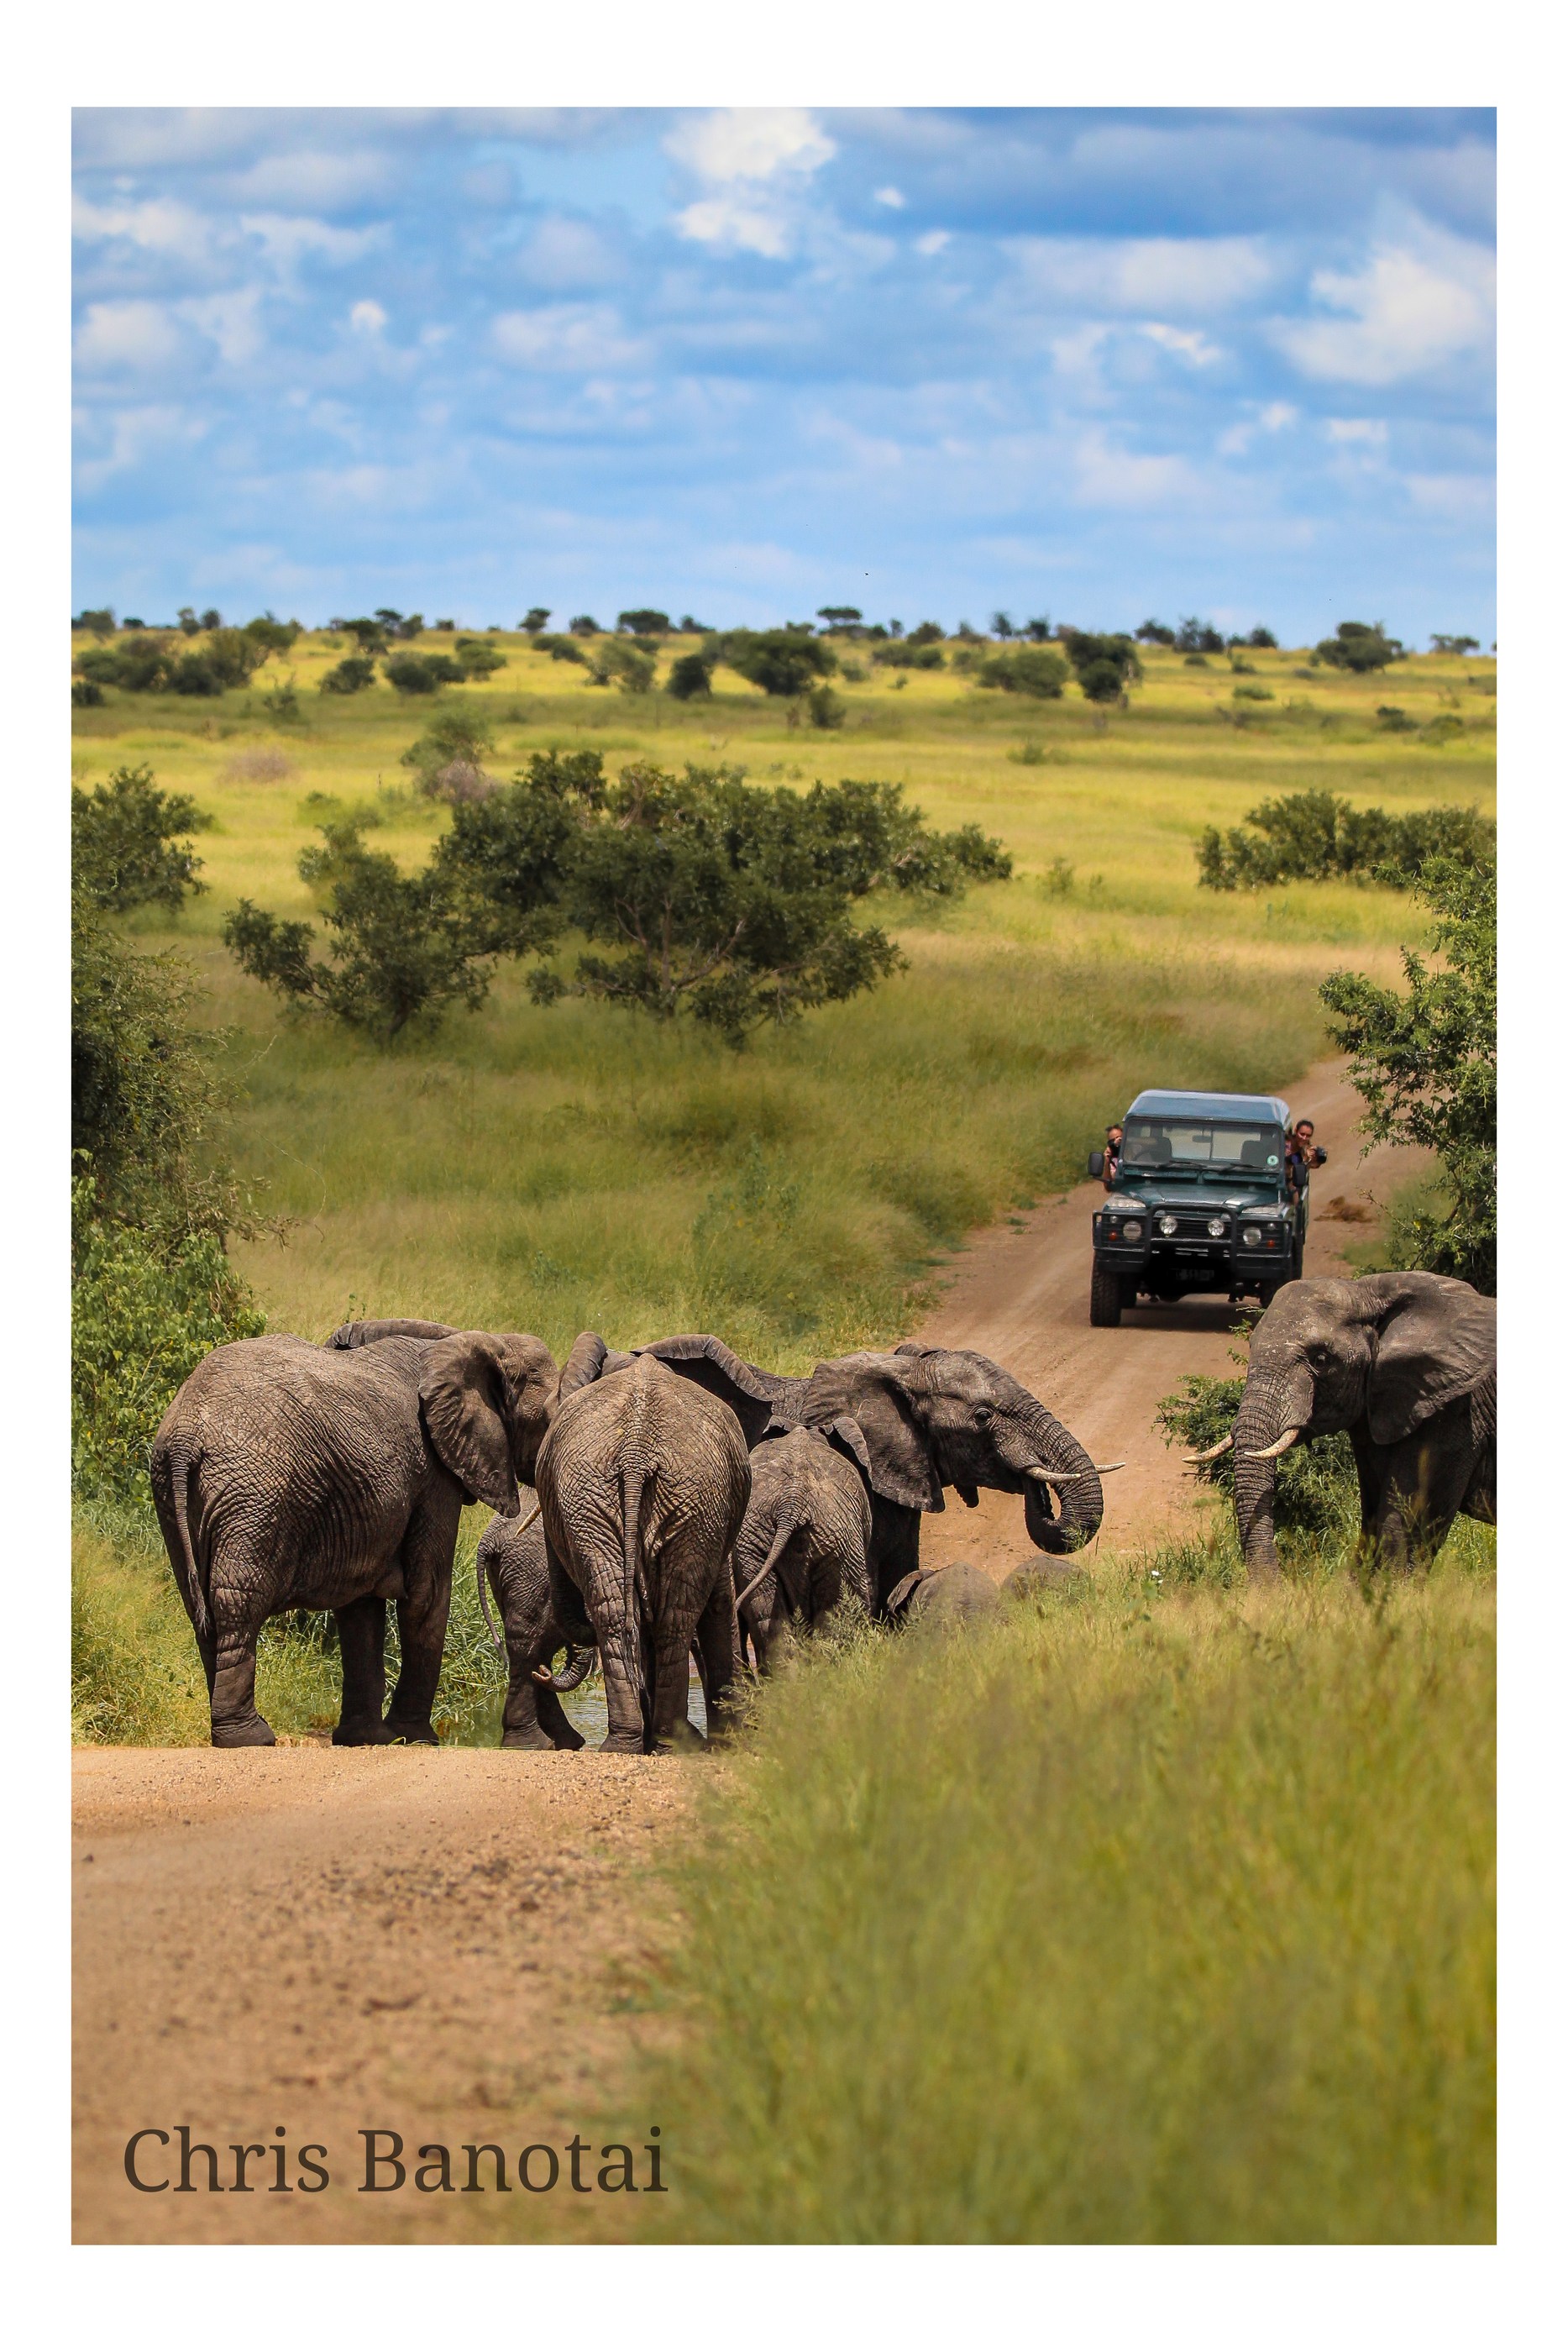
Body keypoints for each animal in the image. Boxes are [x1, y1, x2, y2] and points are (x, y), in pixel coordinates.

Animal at [151, 1326, 559, 1747]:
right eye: (548, 1417)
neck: (481, 1343)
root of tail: (184, 1436)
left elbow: (360, 1604)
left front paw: (365, 1738)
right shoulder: (433, 1475)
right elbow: (426, 1594)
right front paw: (417, 1738)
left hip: (174, 1493)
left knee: (201, 1609)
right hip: (255, 1493)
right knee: (237, 1601)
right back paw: (249, 1738)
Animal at [533, 1341, 751, 1754]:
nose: (541, 1671)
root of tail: (636, 1454)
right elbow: (717, 1605)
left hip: (641, 1496)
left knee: (619, 1611)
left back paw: (633, 1743)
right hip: (679, 1498)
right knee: (671, 1616)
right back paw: (664, 1742)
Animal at [1193, 1272, 1496, 1576]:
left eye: (1321, 1360)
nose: (1278, 1584)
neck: (1367, 1290)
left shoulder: (1455, 1412)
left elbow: (1406, 1531)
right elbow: (1372, 1521)